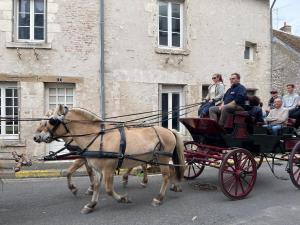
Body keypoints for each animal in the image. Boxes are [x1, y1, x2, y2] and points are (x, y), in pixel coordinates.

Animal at [34, 104, 186, 214]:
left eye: (51, 121)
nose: (37, 137)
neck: (97, 137)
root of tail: (169, 130)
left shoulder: (108, 169)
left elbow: (108, 189)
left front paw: (123, 198)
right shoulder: (96, 168)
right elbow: (96, 184)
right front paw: (91, 204)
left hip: (162, 158)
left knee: (166, 175)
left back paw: (159, 198)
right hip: (156, 158)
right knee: (171, 170)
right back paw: (175, 186)